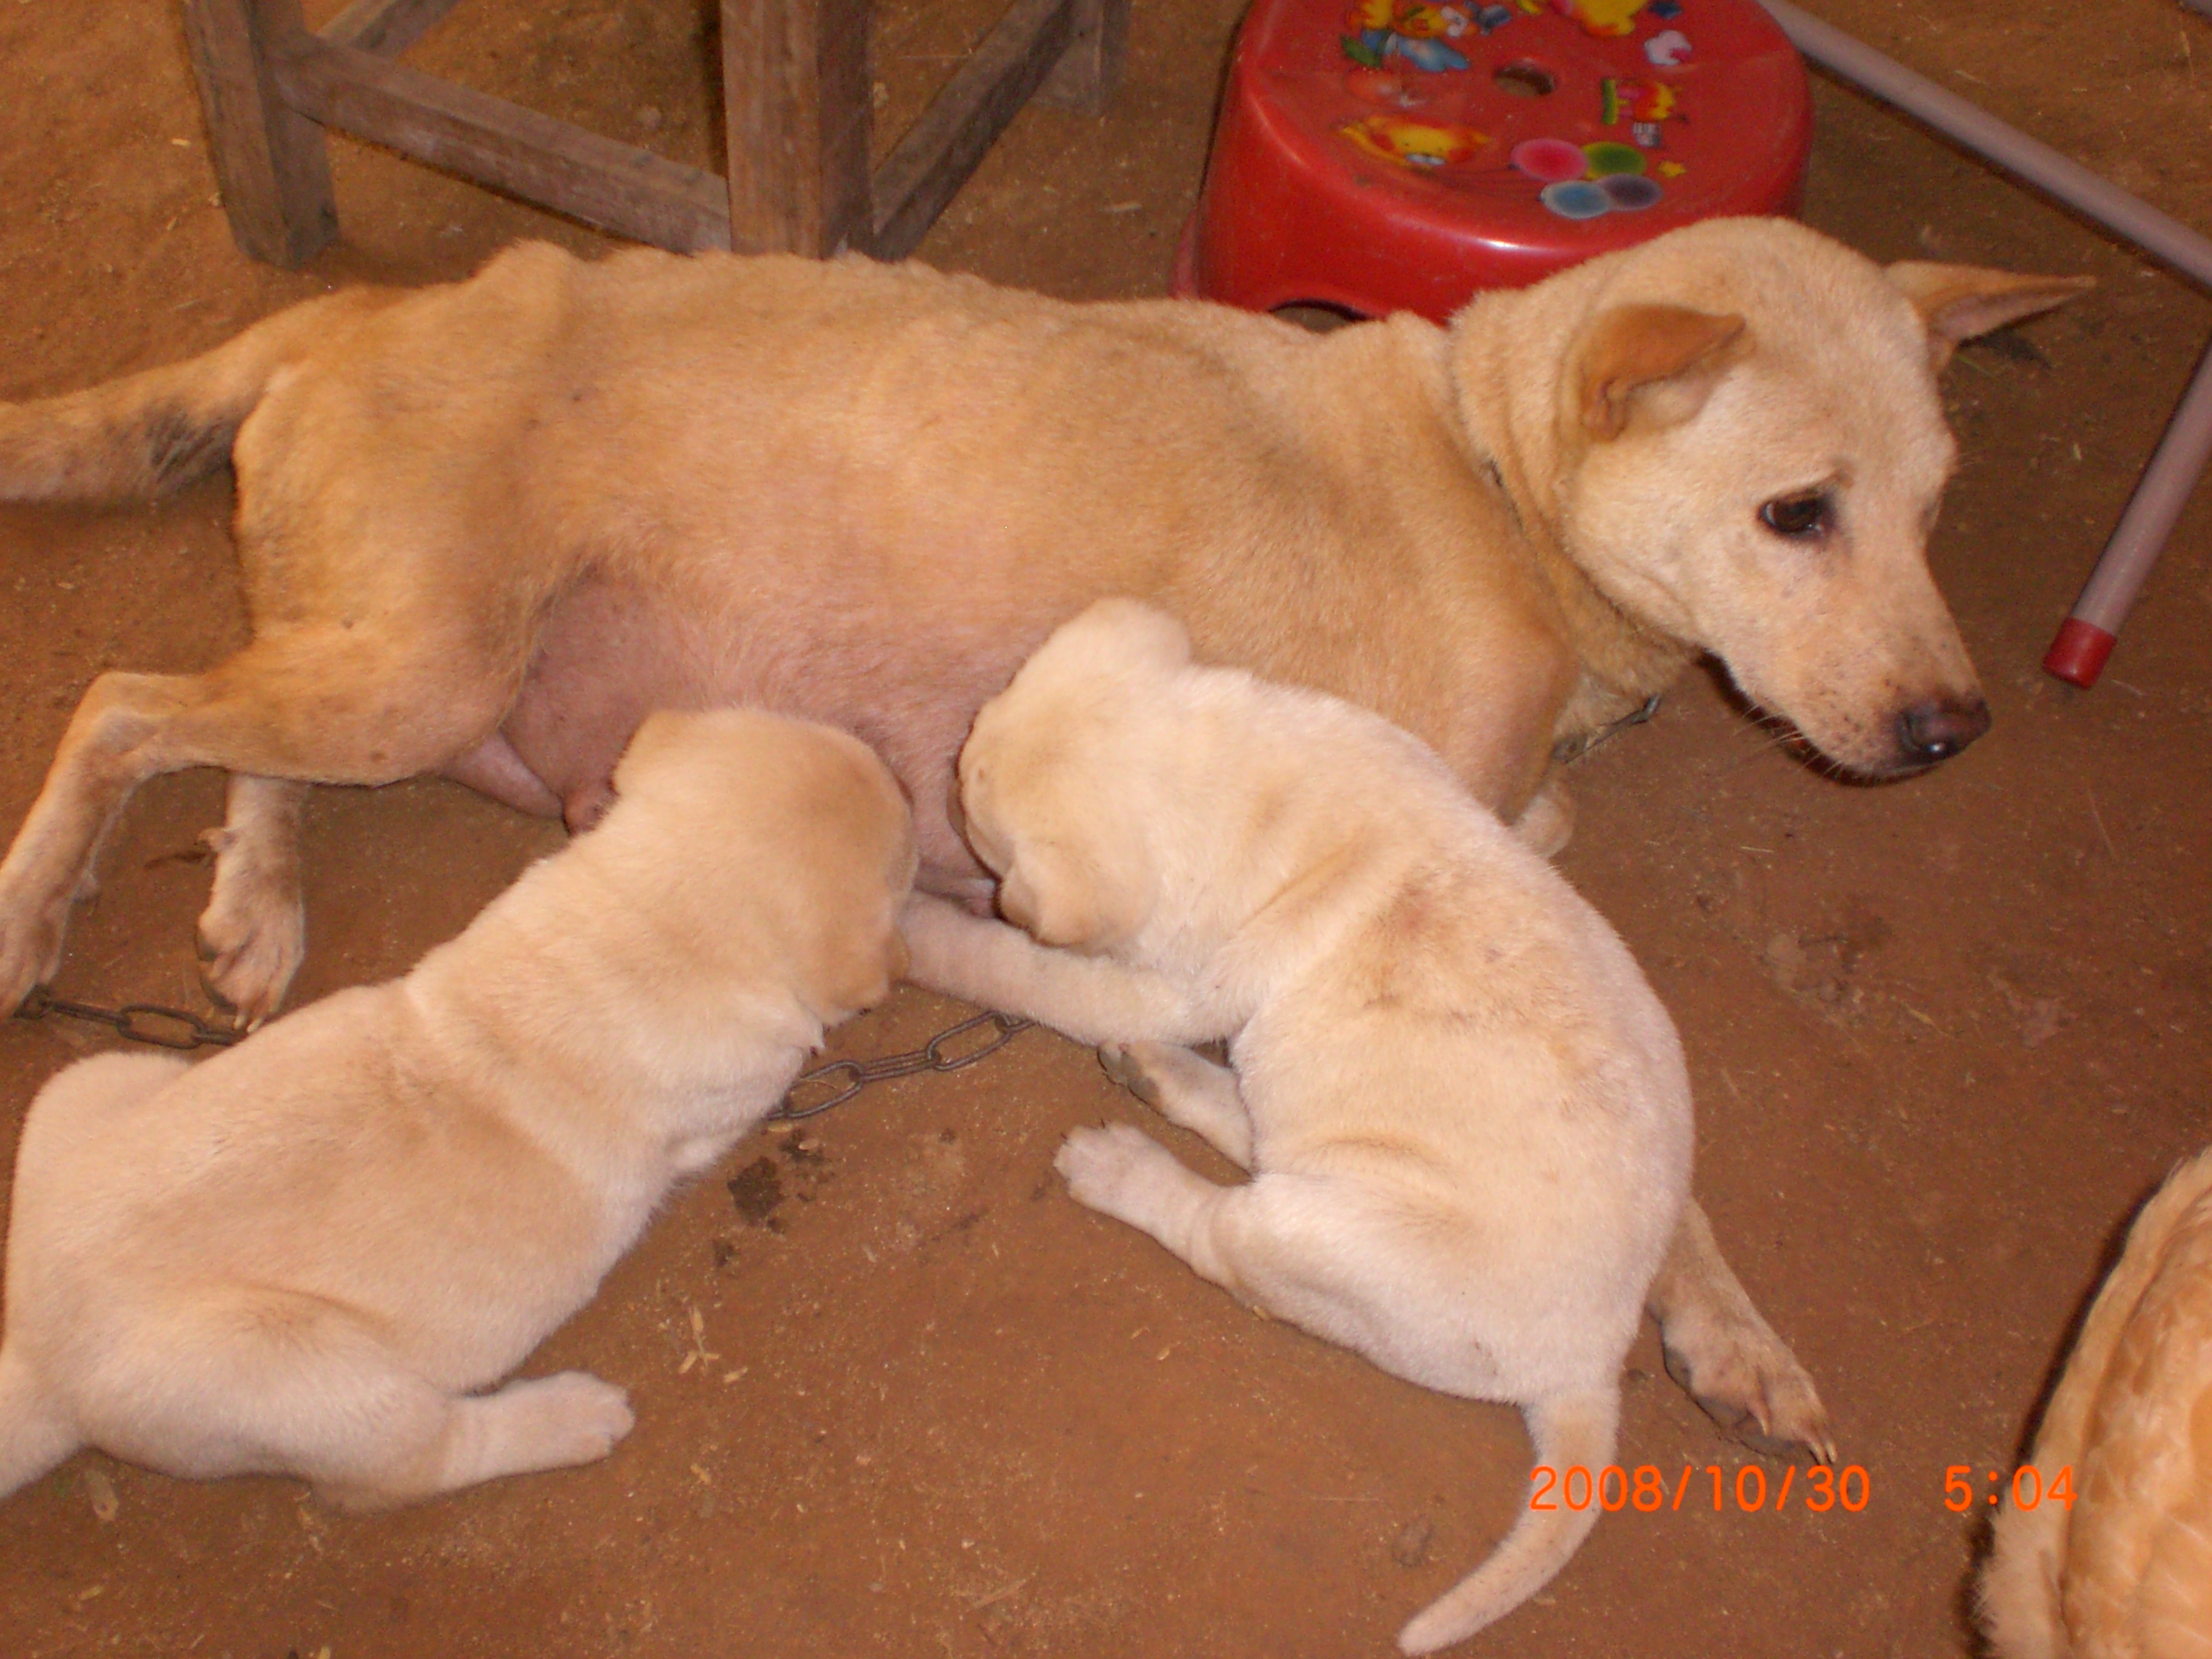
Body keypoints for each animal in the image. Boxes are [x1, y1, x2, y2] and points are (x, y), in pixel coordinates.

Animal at [0, 709, 914, 1510]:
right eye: (902, 860)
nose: (912, 779)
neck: (643, 914)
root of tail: (39, 1356)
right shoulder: (737, 1078)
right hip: (312, 1381)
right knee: (412, 1467)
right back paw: (572, 1418)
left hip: (90, 1083)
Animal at [900, 599, 1815, 1650]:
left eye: (974, 805)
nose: (949, 775)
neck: (1247, 778)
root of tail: (1590, 1368)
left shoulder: (1145, 980)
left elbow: (1009, 965)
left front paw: (912, 929)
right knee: (1254, 1130)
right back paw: (1158, 1077)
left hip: (1316, 1232)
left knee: (1215, 1227)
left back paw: (1119, 1164)